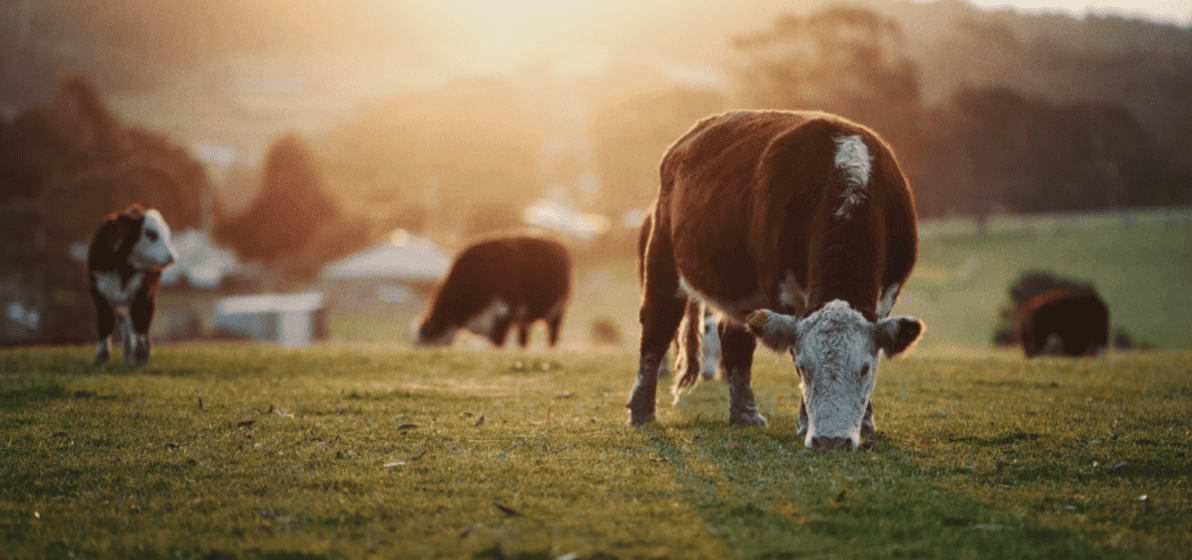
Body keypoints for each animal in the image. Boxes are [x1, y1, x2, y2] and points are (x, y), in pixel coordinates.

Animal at [86, 203, 175, 364]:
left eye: (167, 233)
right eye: (151, 234)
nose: (172, 257)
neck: (122, 268)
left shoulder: (142, 292)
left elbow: (139, 321)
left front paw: (140, 354)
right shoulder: (98, 292)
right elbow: (105, 323)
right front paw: (101, 356)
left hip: (149, 296)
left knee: (139, 322)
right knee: (125, 321)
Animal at [414, 231, 572, 345]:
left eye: (425, 344)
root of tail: (560, 243)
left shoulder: (504, 313)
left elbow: (498, 345)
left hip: (557, 311)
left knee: (552, 337)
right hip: (526, 318)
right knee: (523, 340)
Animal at [629, 108, 924, 450]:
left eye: (865, 368)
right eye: (803, 368)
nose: (831, 441)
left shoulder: (887, 295)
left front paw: (865, 421)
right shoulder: (784, 295)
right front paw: (805, 422)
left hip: (741, 292)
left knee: (735, 342)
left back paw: (745, 415)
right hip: (663, 262)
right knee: (656, 329)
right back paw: (641, 411)